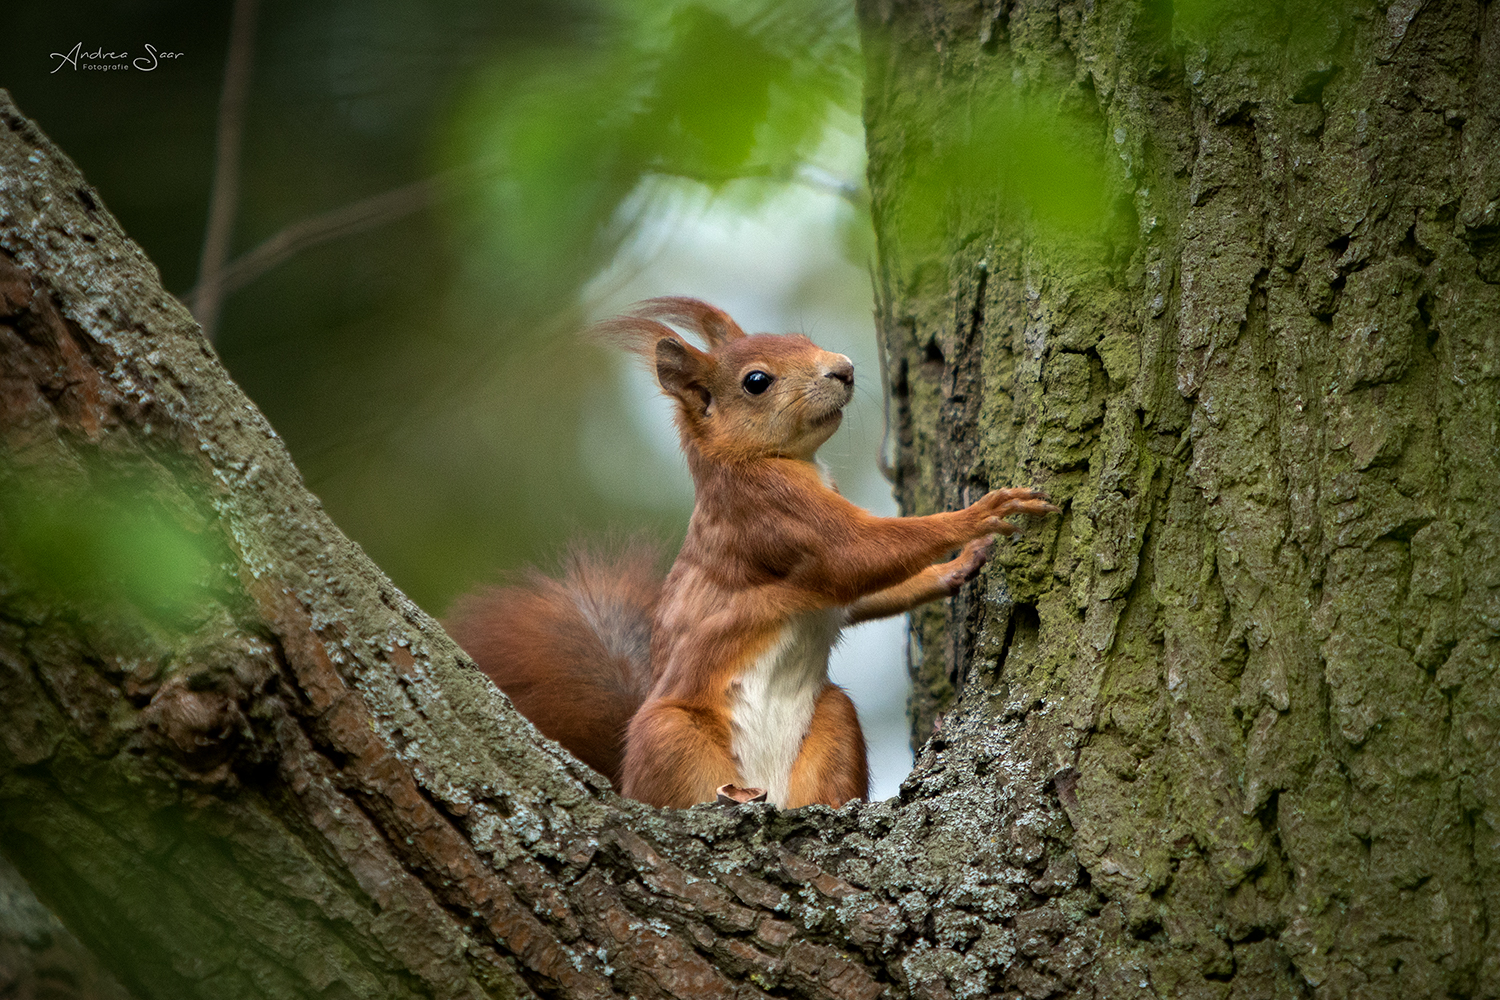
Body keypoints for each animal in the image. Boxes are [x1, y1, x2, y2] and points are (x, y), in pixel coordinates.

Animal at [444, 295, 1056, 803]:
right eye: (756, 381)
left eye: (800, 337)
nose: (843, 367)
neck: (761, 463)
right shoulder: (772, 515)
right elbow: (856, 556)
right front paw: (981, 514)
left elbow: (858, 594)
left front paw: (960, 565)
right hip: (672, 737)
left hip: (831, 722)